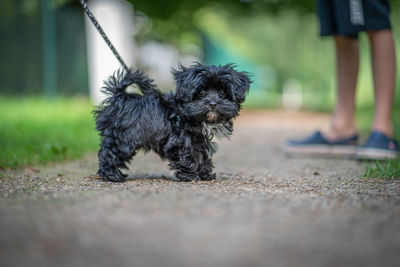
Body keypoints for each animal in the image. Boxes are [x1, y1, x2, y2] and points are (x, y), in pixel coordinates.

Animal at [94, 63, 250, 183]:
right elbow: (188, 156)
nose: (213, 103)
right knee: (110, 152)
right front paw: (190, 176)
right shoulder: (180, 141)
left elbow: (201, 155)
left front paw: (205, 174)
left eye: (222, 92)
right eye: (201, 93)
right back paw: (112, 176)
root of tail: (120, 97)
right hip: (124, 137)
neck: (186, 112)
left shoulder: (198, 140)